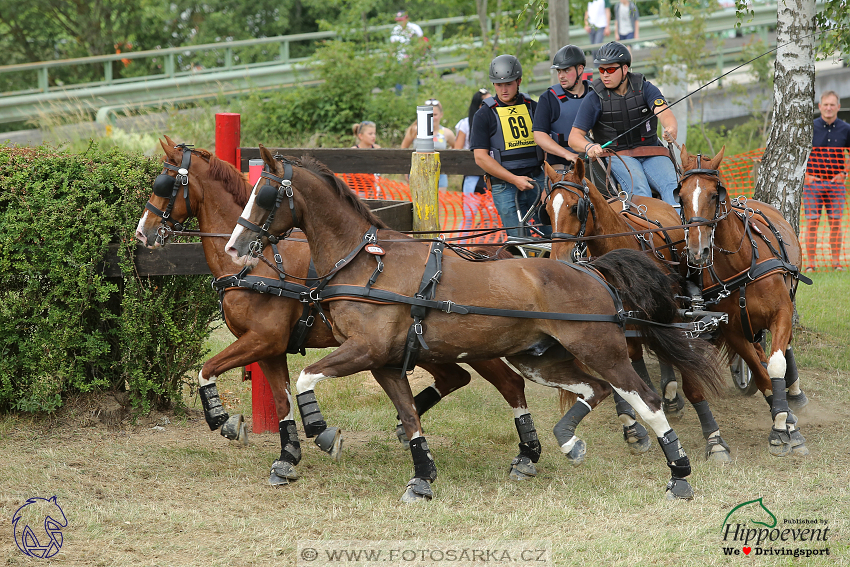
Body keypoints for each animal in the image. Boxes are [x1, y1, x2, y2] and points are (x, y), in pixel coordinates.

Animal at [137, 138, 540, 488]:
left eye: (163, 183)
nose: (142, 234)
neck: (257, 267)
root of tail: (488, 256)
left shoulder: (263, 339)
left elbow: (208, 368)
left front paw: (223, 417)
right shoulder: (270, 349)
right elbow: (282, 402)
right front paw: (287, 457)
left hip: (474, 345)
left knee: (509, 383)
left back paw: (527, 455)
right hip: (424, 348)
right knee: (456, 377)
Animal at [222, 144, 720, 504]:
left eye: (264, 194)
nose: (234, 247)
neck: (366, 263)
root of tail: (591, 270)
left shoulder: (365, 350)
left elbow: (305, 378)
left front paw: (322, 432)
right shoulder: (385, 363)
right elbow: (410, 417)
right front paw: (422, 479)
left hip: (603, 350)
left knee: (645, 400)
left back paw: (679, 475)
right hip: (537, 359)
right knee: (591, 389)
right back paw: (566, 442)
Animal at [676, 145, 808, 458]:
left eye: (715, 194)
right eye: (681, 196)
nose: (697, 251)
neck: (742, 265)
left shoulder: (781, 312)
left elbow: (776, 365)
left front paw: (783, 424)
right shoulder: (732, 330)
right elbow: (761, 373)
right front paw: (781, 426)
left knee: (785, 347)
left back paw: (795, 392)